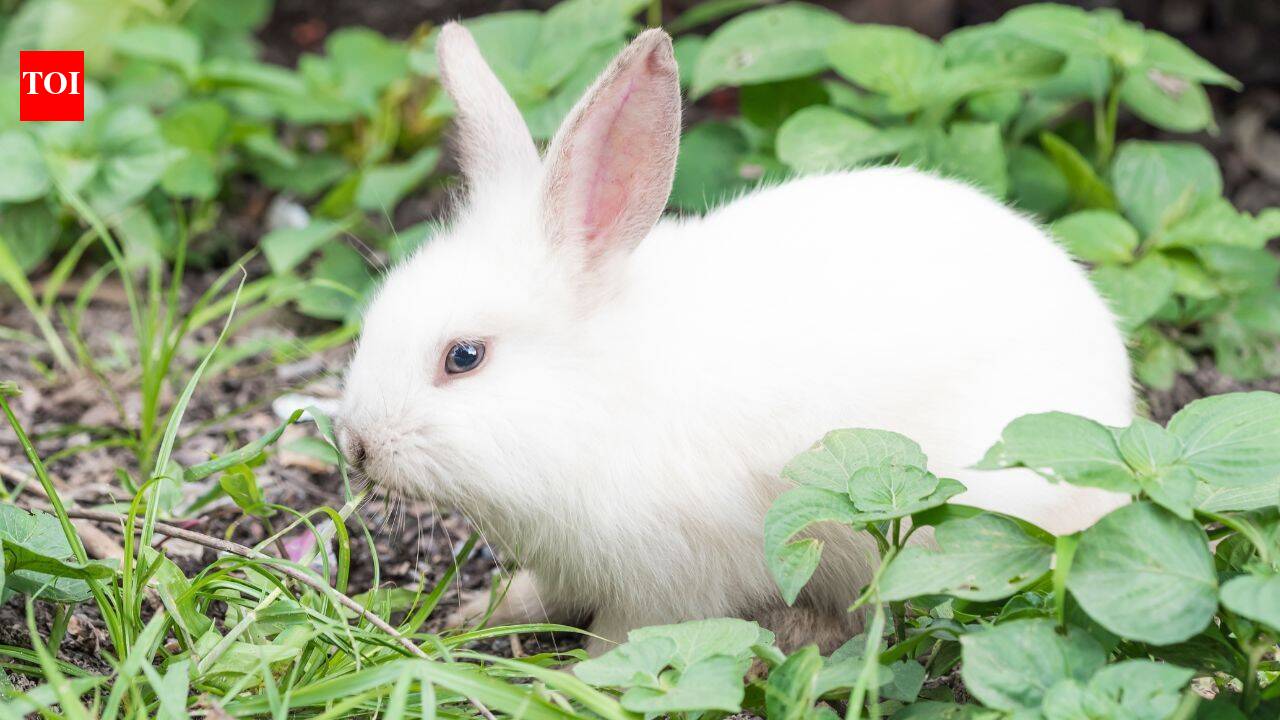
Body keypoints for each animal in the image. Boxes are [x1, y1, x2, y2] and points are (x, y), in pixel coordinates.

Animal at [337, 22, 1134, 655]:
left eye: (463, 358)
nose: (356, 444)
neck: (595, 396)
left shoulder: (670, 576)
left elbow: (624, 639)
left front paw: (577, 676)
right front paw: (481, 611)